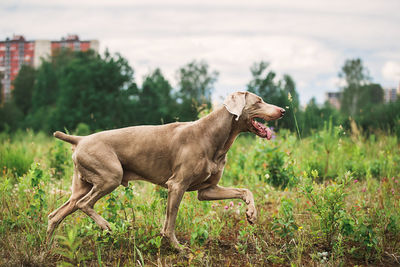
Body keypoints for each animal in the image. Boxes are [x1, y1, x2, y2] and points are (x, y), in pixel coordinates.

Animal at [47, 91, 284, 250]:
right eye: (259, 101)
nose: (283, 110)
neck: (214, 135)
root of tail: (80, 139)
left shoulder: (207, 190)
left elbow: (245, 190)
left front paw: (251, 214)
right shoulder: (177, 185)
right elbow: (170, 222)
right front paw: (177, 248)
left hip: (84, 184)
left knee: (56, 215)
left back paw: (47, 247)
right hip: (110, 176)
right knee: (83, 204)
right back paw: (106, 225)